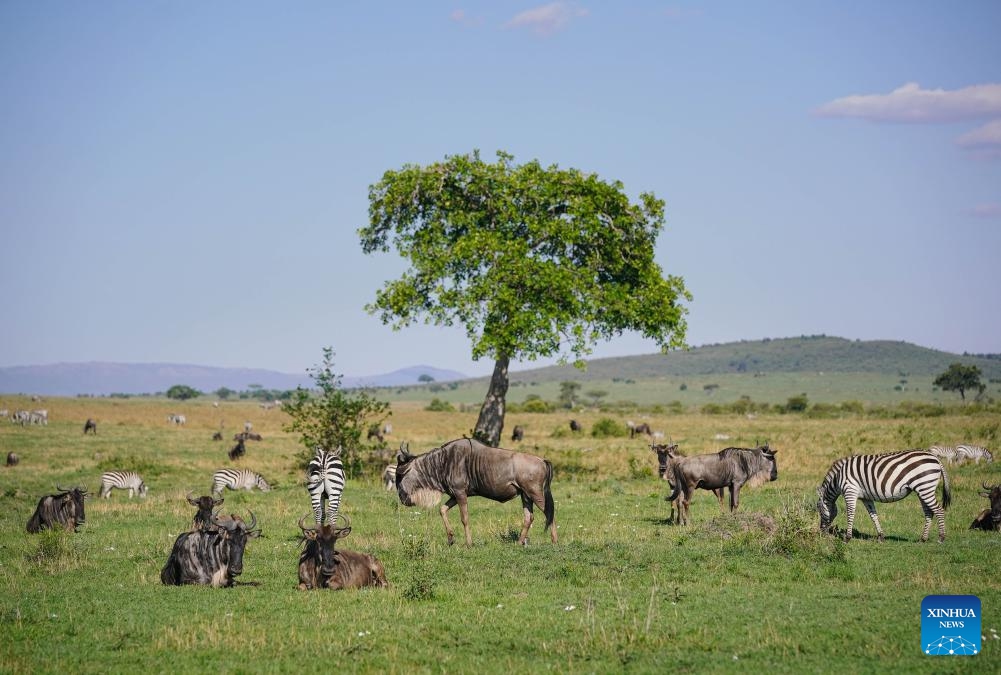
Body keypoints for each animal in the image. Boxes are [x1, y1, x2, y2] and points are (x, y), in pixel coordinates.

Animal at [816, 446, 948, 540]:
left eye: (818, 509)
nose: (821, 533)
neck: (837, 478)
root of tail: (935, 457)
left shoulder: (850, 491)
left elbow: (850, 513)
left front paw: (847, 538)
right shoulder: (866, 497)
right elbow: (873, 515)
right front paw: (880, 536)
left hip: (925, 487)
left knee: (939, 510)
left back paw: (941, 537)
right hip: (923, 489)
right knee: (929, 512)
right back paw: (923, 538)